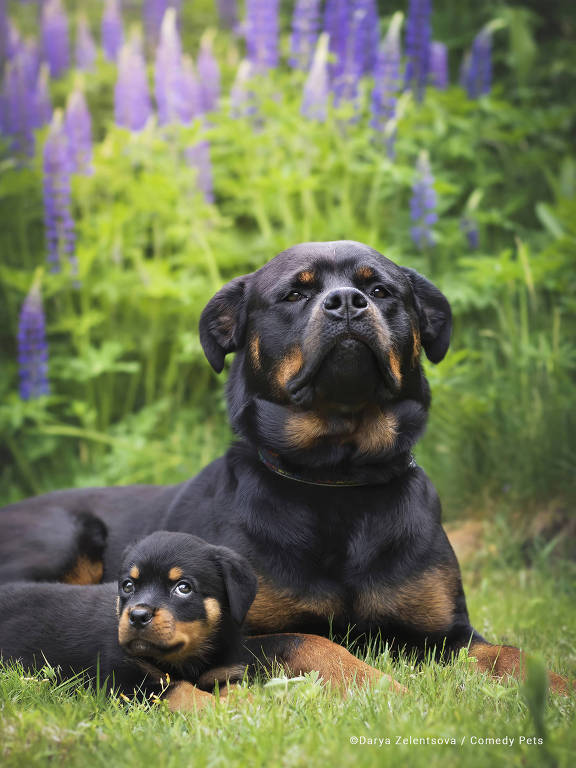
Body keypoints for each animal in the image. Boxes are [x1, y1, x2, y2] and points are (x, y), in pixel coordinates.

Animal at [0, 240, 568, 696]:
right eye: (295, 295)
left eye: (381, 290)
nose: (347, 301)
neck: (337, 478)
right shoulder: (244, 633)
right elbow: (317, 644)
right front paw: (383, 688)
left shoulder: (447, 633)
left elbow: (512, 655)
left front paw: (561, 689)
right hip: (63, 536)